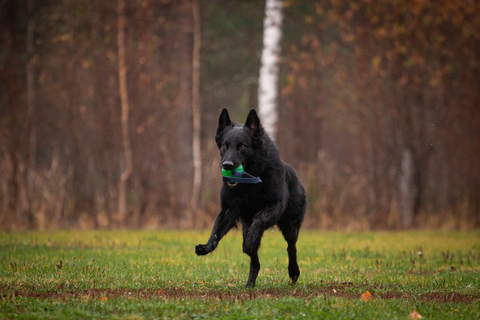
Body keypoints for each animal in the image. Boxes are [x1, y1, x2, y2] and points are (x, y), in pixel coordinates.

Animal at [194, 108, 304, 288]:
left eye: (243, 146)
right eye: (225, 145)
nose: (227, 165)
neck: (249, 183)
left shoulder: (275, 204)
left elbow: (259, 218)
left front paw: (251, 239)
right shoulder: (228, 210)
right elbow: (216, 230)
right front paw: (207, 246)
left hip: (290, 226)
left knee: (291, 247)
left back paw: (293, 272)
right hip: (246, 228)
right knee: (255, 262)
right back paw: (249, 284)